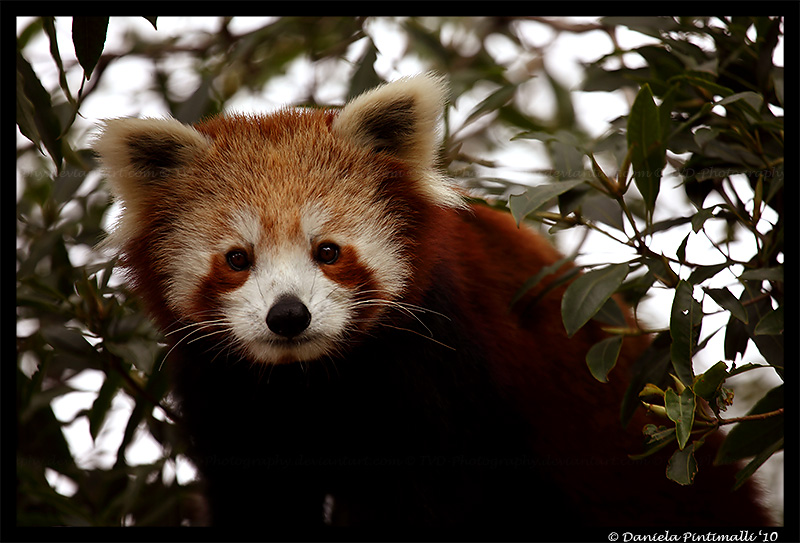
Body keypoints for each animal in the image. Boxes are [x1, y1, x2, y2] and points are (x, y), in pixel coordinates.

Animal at [95, 74, 768, 528]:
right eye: (238, 259)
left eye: (328, 251)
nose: (288, 315)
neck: (311, 381)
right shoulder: (227, 396)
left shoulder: (443, 375)